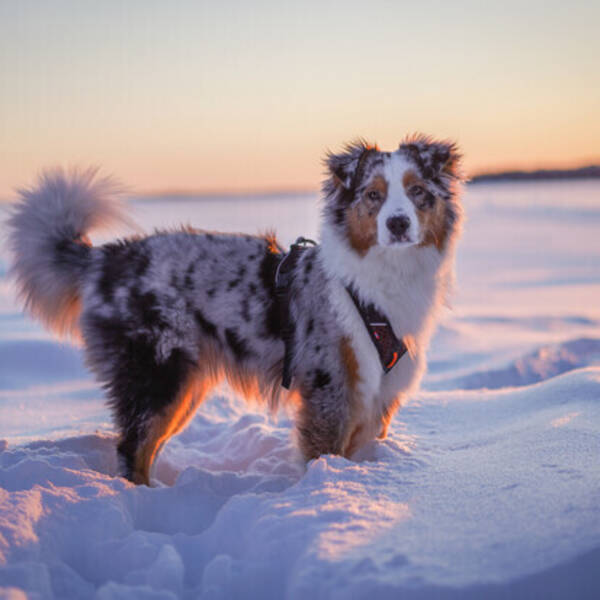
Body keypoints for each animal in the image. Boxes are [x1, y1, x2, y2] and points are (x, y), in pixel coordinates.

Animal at [5, 136, 464, 482]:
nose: (398, 224)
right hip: (159, 373)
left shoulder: (378, 395)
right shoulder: (330, 389)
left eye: (417, 192)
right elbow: (324, 455)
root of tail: (106, 258)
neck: (380, 282)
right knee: (131, 448)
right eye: (373, 195)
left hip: (185, 383)